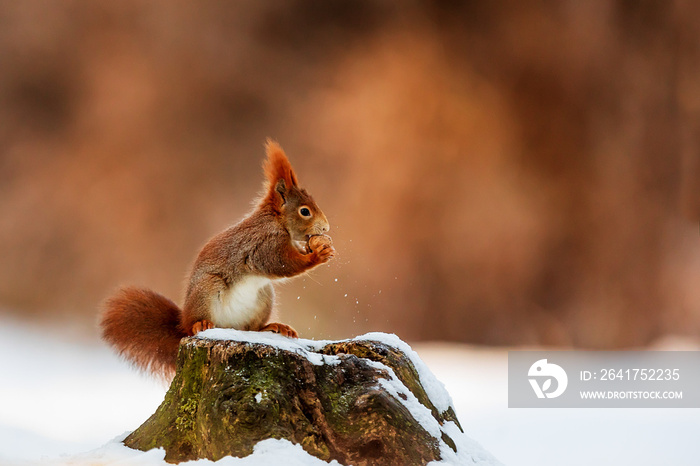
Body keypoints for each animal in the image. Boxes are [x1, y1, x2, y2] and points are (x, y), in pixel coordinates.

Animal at [99, 141, 336, 378]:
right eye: (304, 211)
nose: (325, 228)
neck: (276, 221)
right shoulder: (264, 245)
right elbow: (281, 264)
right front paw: (317, 255)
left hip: (264, 296)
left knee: (249, 328)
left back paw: (271, 327)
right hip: (208, 288)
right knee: (197, 323)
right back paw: (200, 325)